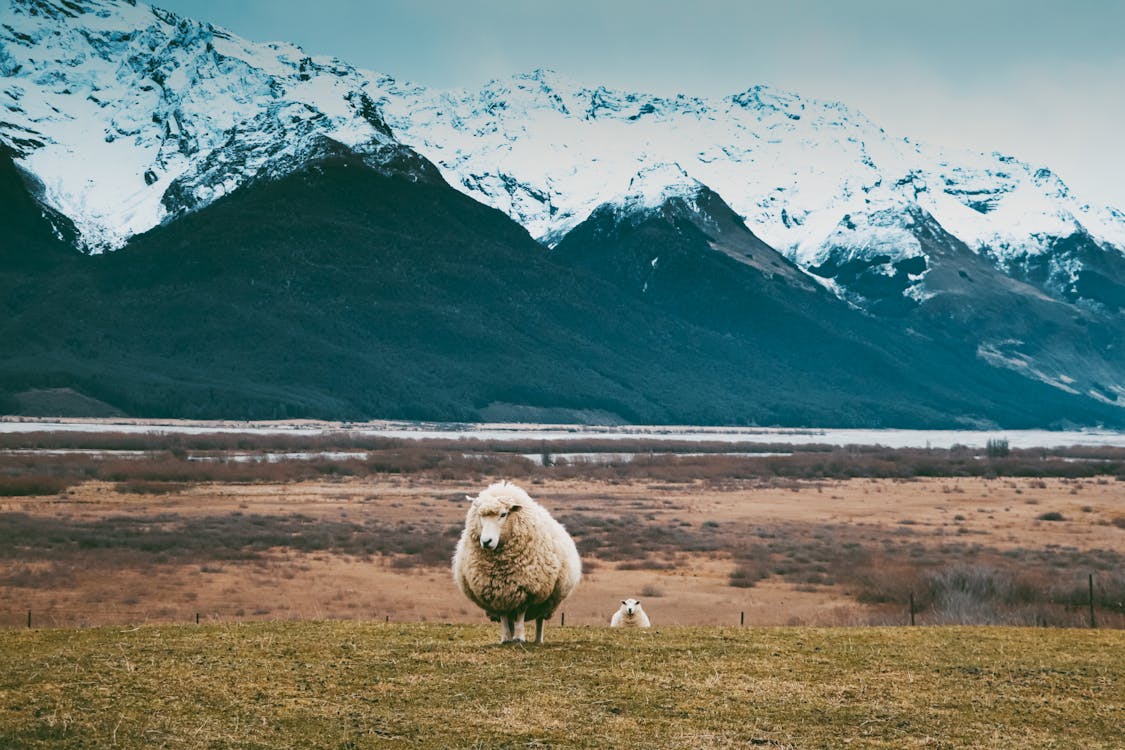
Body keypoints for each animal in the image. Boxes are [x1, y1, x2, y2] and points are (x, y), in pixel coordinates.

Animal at [452, 481, 585, 647]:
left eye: (503, 514)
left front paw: (520, 637)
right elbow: (503, 616)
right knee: (510, 617)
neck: (500, 565)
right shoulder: (497, 592)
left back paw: (537, 640)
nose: (486, 541)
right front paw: (506, 638)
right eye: (480, 515)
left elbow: (521, 614)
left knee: (539, 619)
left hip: (546, 600)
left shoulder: (526, 587)